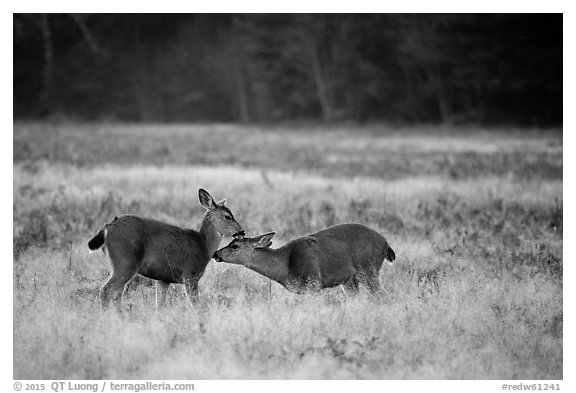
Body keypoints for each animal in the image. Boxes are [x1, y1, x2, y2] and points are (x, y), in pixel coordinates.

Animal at [87, 188, 243, 312]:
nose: (242, 231)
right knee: (107, 290)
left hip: (118, 265)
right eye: (227, 216)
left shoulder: (163, 278)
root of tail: (106, 228)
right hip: (126, 261)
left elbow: (159, 305)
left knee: (117, 293)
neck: (204, 244)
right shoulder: (190, 274)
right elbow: (196, 305)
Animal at [213, 224, 396, 294]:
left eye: (235, 246)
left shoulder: (313, 282)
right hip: (350, 280)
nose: (216, 254)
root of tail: (386, 243)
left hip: (369, 269)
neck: (286, 266)